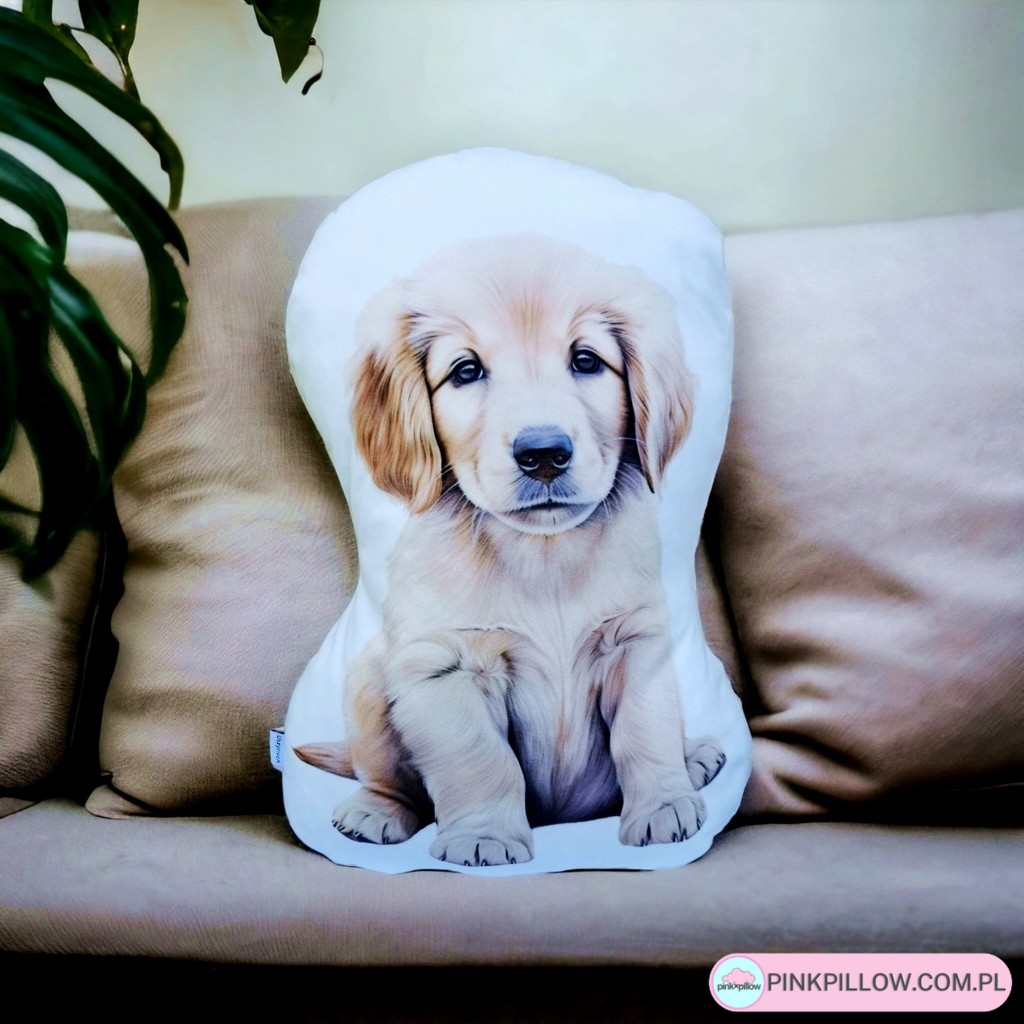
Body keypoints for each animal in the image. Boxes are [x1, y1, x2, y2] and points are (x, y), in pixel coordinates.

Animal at [296, 234, 725, 866]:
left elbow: (646, 729)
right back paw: (376, 812)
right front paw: (484, 837)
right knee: (382, 773)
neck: (543, 558)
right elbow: (481, 761)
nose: (543, 453)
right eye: (466, 371)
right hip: (368, 678)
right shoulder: (443, 667)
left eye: (586, 361)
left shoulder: (635, 639)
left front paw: (663, 806)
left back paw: (694, 757)